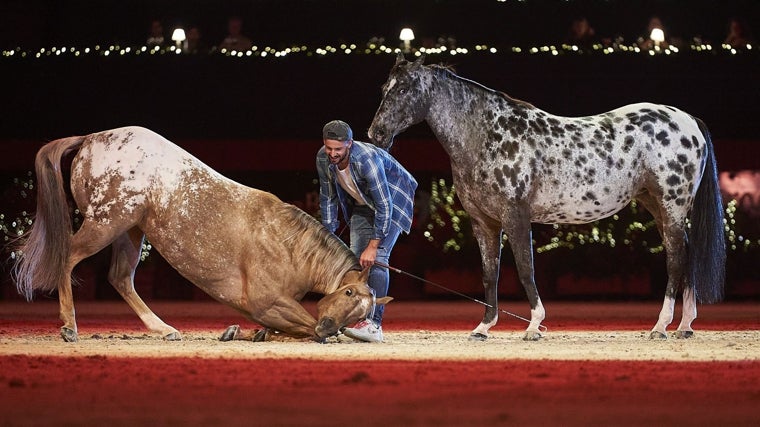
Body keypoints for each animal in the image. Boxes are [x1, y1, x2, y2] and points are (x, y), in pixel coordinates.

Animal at [14, 126, 388, 344]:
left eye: (360, 312)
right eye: (348, 292)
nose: (330, 329)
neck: (288, 245)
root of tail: (92, 138)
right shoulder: (268, 303)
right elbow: (301, 324)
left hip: (130, 229)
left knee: (120, 278)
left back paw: (165, 329)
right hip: (106, 223)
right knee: (68, 258)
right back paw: (69, 326)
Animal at [368, 54, 724, 342]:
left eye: (404, 90)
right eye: (384, 88)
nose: (376, 134)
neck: (487, 135)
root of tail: (688, 120)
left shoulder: (516, 215)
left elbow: (526, 269)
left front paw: (533, 326)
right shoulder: (483, 222)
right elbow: (489, 273)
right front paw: (483, 327)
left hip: (672, 205)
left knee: (676, 259)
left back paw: (661, 326)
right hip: (656, 206)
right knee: (686, 254)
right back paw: (685, 326)